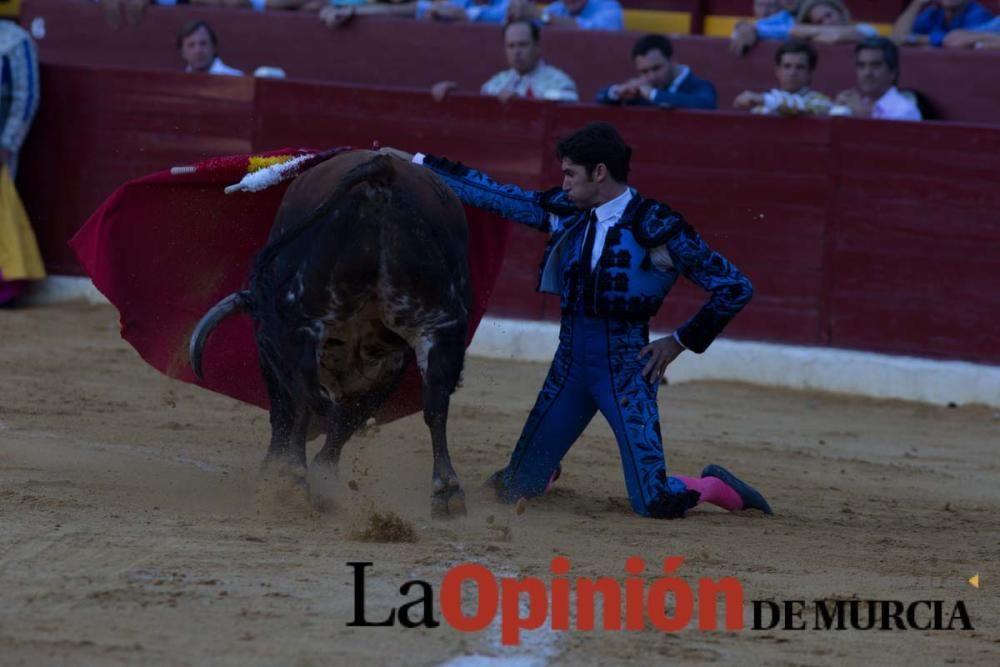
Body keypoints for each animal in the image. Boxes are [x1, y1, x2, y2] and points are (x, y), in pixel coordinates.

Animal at [191, 153, 472, 520]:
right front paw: (321, 475)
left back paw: (293, 480)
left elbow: (294, 410)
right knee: (436, 403)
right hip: (438, 323)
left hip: (305, 320)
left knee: (305, 399)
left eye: (262, 342)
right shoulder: (391, 362)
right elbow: (348, 417)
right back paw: (447, 491)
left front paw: (284, 471)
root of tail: (382, 174)